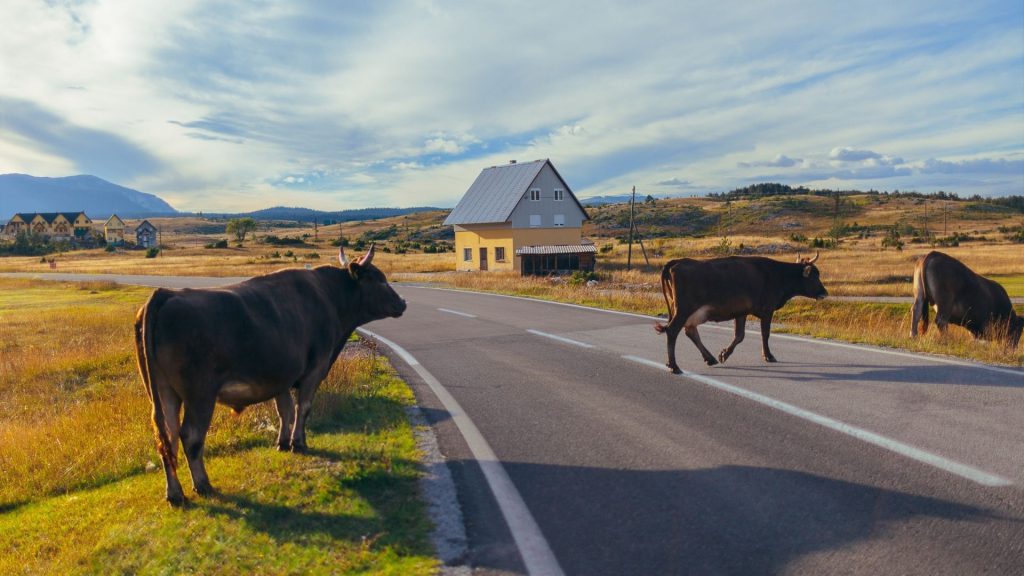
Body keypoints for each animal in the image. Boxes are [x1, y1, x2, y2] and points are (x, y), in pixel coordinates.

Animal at [134, 244, 406, 505]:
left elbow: (284, 410)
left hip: (164, 394)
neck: (328, 296)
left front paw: (283, 443)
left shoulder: (281, 376)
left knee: (167, 438)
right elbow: (303, 407)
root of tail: (166, 294)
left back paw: (175, 494)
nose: (403, 302)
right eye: (380, 279)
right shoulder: (315, 368)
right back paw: (203, 484)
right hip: (200, 395)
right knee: (190, 436)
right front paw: (299, 443)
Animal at [654, 253, 828, 373]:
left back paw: (709, 358)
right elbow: (765, 334)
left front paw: (724, 354)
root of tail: (677, 262)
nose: (825, 293)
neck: (777, 274)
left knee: (690, 331)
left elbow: (739, 336)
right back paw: (674, 366)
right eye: (815, 276)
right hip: (684, 310)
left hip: (692, 312)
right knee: (673, 330)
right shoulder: (767, 310)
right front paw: (768, 356)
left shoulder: (741, 312)